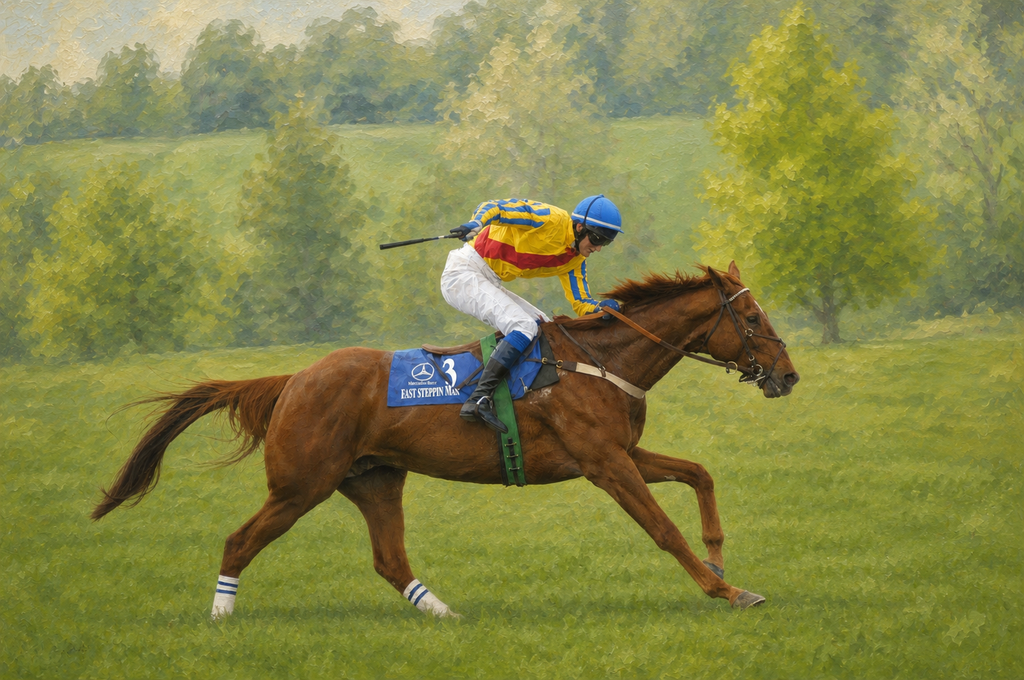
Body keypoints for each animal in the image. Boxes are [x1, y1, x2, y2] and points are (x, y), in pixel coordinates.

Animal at [91, 262, 799, 618]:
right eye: (752, 317)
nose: (789, 375)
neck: (601, 360)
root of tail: (293, 379)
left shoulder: (620, 453)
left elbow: (699, 472)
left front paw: (719, 559)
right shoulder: (605, 463)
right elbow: (663, 529)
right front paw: (726, 590)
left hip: (374, 480)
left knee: (389, 559)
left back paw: (444, 616)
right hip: (301, 485)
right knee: (240, 541)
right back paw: (222, 619)